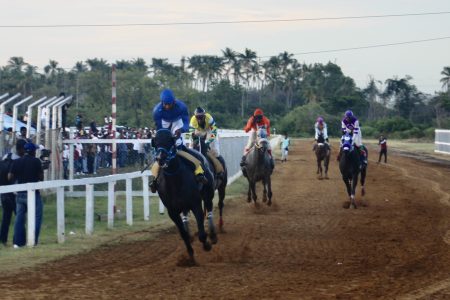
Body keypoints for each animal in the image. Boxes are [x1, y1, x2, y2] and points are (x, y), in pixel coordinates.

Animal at [150, 129, 215, 262]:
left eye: (169, 141)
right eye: (156, 142)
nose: (160, 158)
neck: (175, 180)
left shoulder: (195, 204)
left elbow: (201, 233)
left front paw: (206, 245)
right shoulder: (172, 212)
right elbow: (183, 234)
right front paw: (190, 254)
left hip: (208, 193)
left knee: (209, 208)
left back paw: (213, 234)